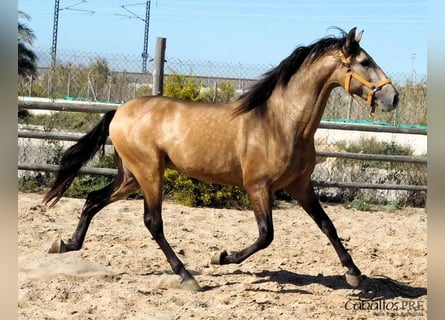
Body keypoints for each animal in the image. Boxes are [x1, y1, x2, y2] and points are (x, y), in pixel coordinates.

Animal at [44, 28, 398, 292]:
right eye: (365, 61)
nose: (393, 97)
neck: (282, 123)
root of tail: (119, 110)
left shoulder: (300, 185)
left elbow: (328, 225)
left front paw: (354, 273)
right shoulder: (258, 186)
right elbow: (266, 235)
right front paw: (221, 256)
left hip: (130, 175)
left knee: (93, 199)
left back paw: (64, 244)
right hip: (149, 173)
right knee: (152, 222)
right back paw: (188, 277)